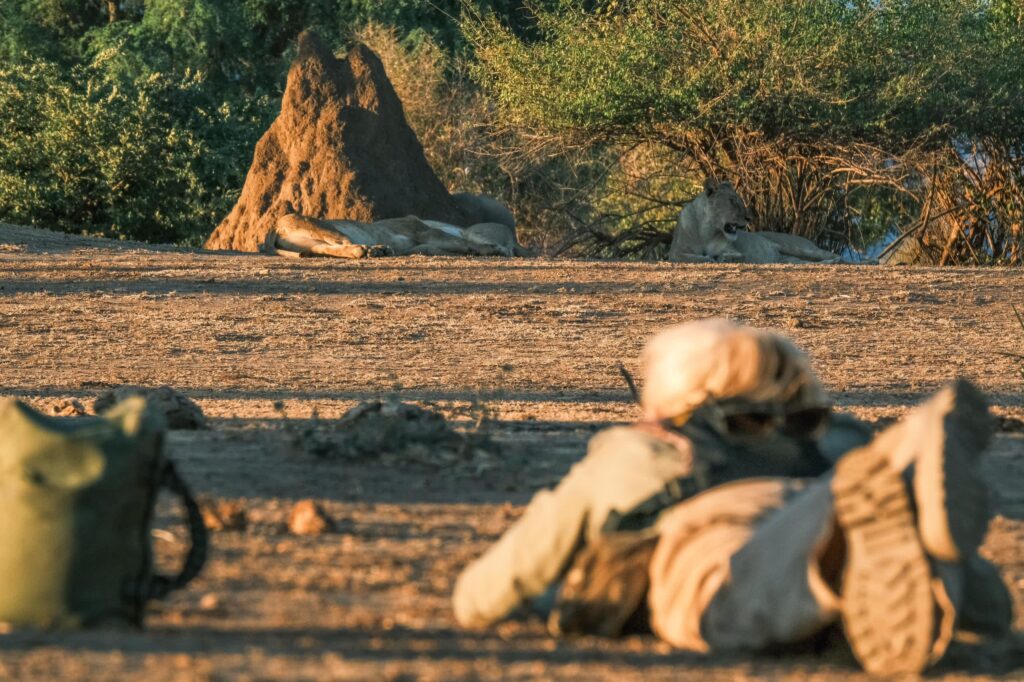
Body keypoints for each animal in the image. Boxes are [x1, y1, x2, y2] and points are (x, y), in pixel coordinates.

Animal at [668, 180, 840, 264]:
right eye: (732, 201)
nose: (749, 218)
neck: (707, 231)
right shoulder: (675, 251)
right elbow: (685, 256)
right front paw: (707, 258)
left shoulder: (735, 250)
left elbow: (736, 255)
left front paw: (721, 258)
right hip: (791, 260)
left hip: (798, 247)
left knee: (832, 254)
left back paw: (836, 260)